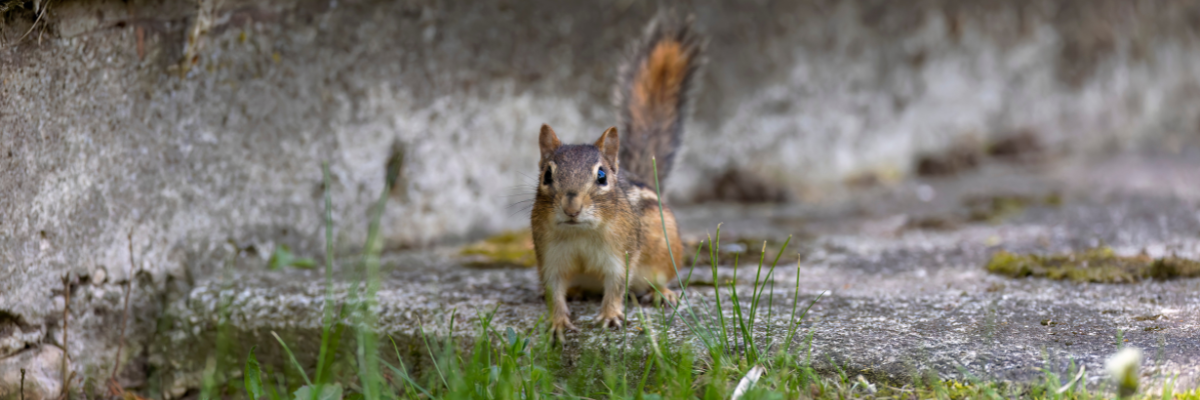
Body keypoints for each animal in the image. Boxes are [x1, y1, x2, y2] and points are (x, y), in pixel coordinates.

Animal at [531, 13, 704, 341]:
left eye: (601, 175)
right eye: (547, 174)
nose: (571, 208)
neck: (580, 233)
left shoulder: (620, 254)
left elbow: (615, 285)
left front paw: (610, 315)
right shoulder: (550, 257)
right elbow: (554, 291)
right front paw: (558, 322)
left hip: (666, 254)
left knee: (658, 279)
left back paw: (662, 293)